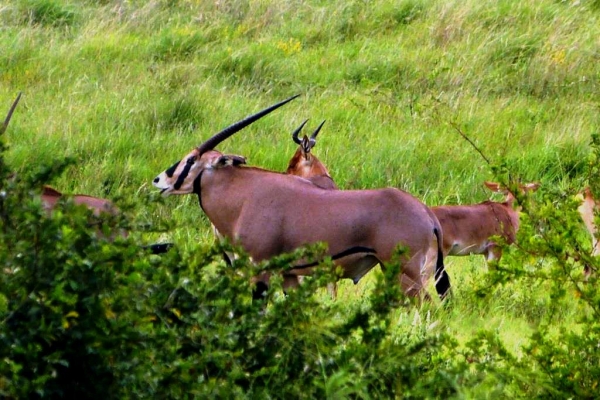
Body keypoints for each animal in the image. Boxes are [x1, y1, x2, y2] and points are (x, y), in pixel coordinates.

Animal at [152, 97, 452, 302]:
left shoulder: (260, 269)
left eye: (191, 160)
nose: (159, 180)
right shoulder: (289, 276)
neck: (244, 196)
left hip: (406, 274)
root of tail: (427, 215)